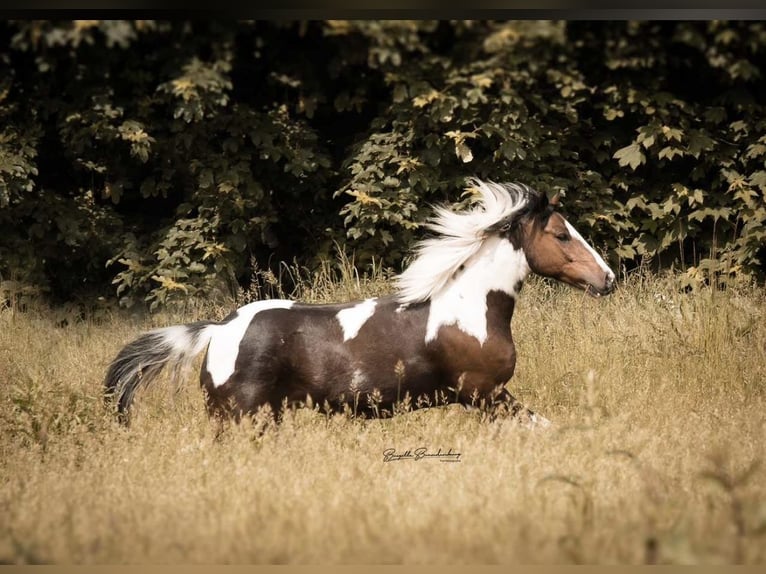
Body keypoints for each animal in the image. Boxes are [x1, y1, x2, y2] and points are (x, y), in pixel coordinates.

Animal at [104, 178, 616, 428]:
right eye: (561, 234)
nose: (607, 278)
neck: (470, 310)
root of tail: (217, 329)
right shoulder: (483, 393)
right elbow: (541, 426)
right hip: (237, 414)